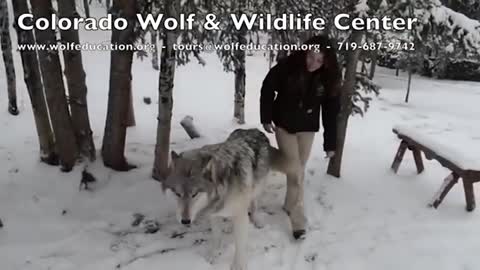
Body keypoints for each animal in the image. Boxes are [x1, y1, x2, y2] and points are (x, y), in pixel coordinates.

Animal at [161, 128, 284, 270]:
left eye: (195, 194)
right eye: (177, 193)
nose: (185, 221)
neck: (223, 186)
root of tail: (253, 129)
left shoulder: (239, 215)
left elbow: (240, 246)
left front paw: (238, 266)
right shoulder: (214, 214)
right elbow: (217, 238)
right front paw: (213, 256)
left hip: (257, 188)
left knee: (253, 204)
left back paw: (256, 220)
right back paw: (230, 227)